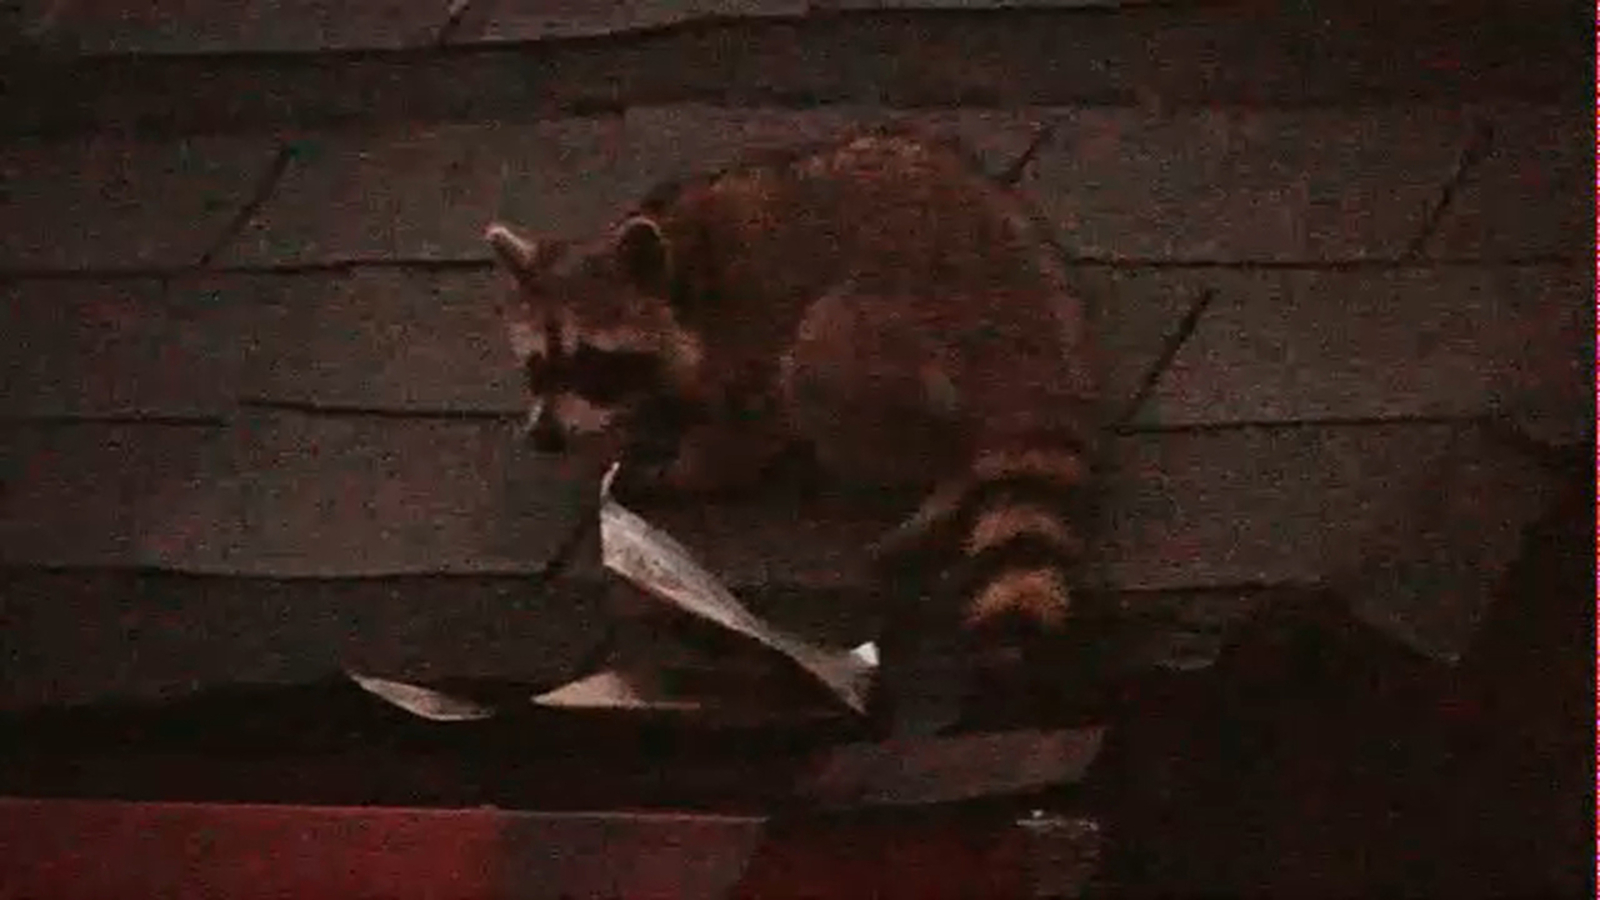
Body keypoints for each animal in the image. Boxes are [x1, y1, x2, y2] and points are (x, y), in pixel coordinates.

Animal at [486, 125, 1099, 680]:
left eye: (591, 362)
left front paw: (686, 471)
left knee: (822, 352)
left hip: (919, 332)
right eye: (540, 365)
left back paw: (943, 479)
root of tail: (1035, 342)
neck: (678, 270)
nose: (544, 437)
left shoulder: (747, 335)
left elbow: (743, 433)